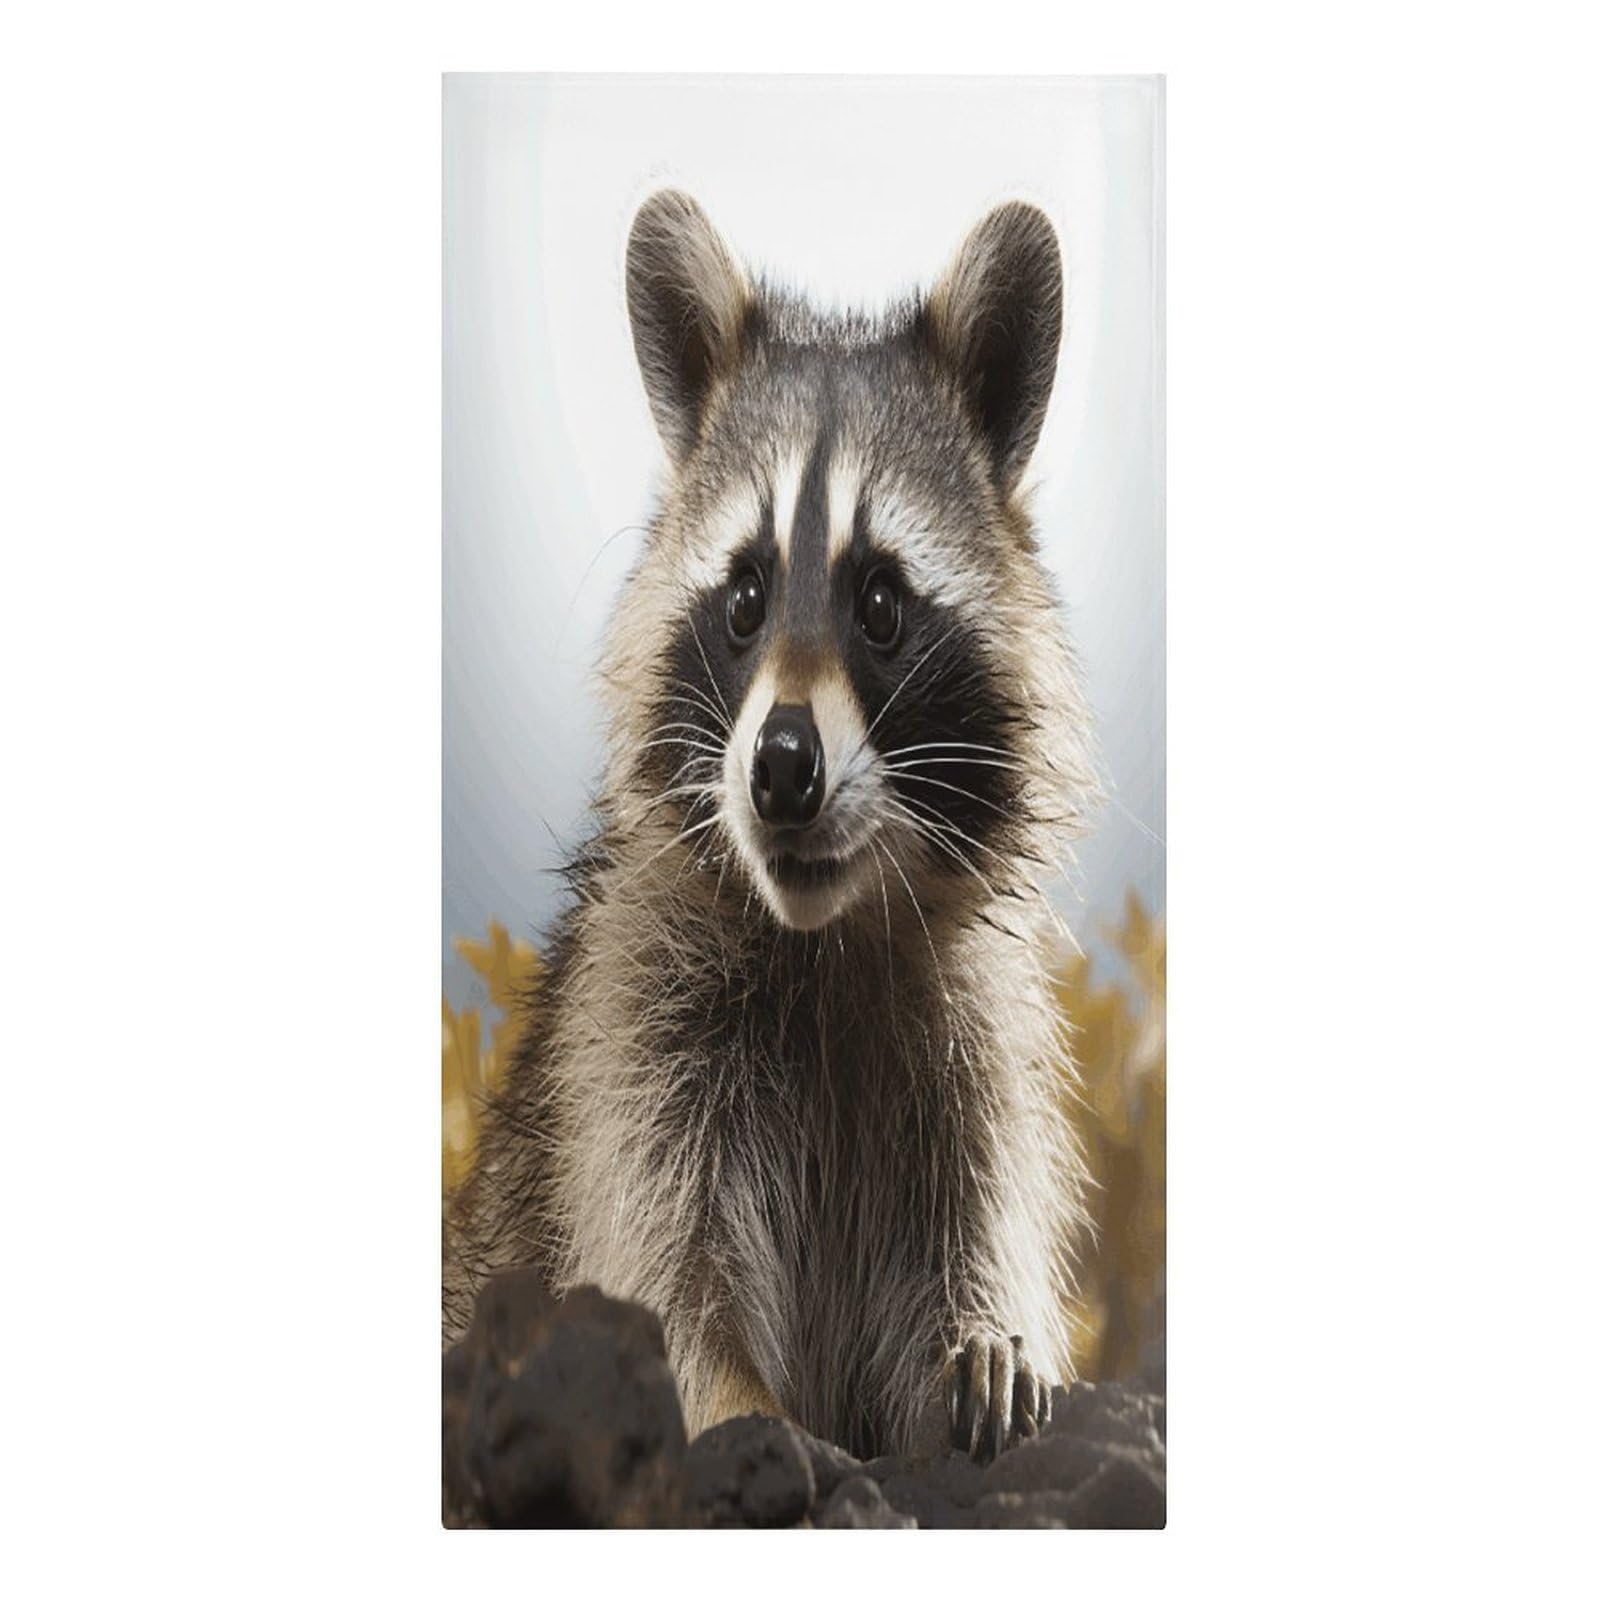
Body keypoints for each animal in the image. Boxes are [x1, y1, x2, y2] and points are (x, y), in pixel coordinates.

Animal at [444, 191, 1099, 1462]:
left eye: (881, 602)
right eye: (744, 598)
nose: (783, 767)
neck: (822, 936)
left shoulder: (976, 1064)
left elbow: (973, 1240)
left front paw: (986, 1335)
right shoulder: (630, 1036)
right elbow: (658, 1269)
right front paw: (740, 1399)